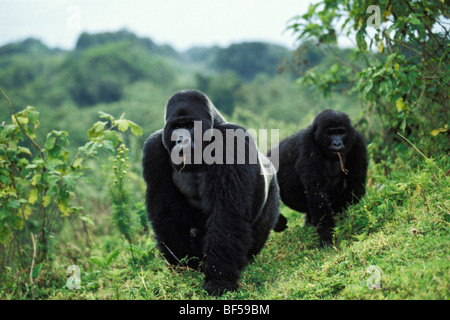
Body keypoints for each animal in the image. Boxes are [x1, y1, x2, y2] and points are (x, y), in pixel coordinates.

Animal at [142, 89, 284, 296]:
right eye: (177, 127)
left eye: (189, 126)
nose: (180, 139)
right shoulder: (153, 149)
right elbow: (167, 215)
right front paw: (183, 267)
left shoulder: (231, 140)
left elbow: (226, 214)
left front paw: (219, 281)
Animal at [268, 109, 368, 245]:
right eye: (330, 133)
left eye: (341, 132)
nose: (337, 143)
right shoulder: (308, 145)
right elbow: (317, 193)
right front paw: (328, 238)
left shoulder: (357, 141)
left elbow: (356, 187)